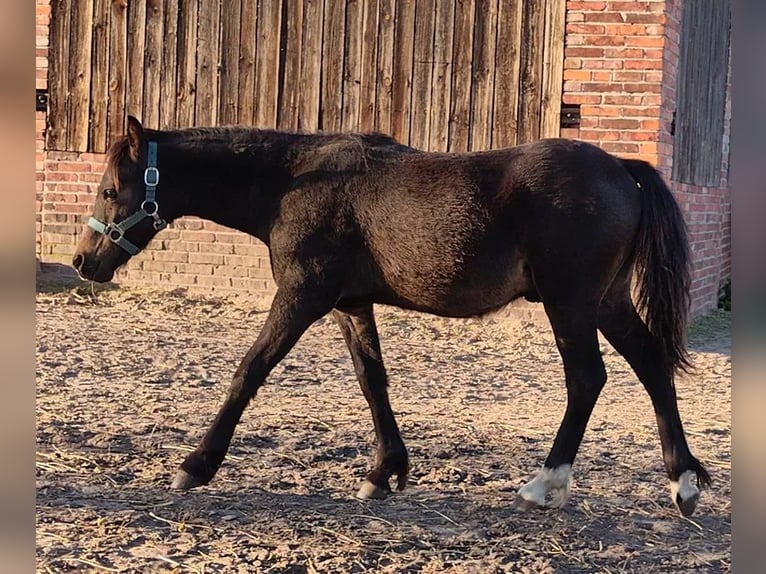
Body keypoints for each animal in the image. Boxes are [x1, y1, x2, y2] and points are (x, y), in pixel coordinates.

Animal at [75, 116, 712, 516]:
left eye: (109, 190)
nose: (83, 262)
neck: (293, 182)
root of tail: (621, 168)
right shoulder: (350, 305)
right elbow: (372, 380)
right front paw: (384, 472)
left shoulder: (302, 297)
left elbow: (249, 371)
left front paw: (197, 465)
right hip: (606, 302)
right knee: (653, 367)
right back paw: (682, 481)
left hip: (571, 303)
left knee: (587, 379)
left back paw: (544, 485)